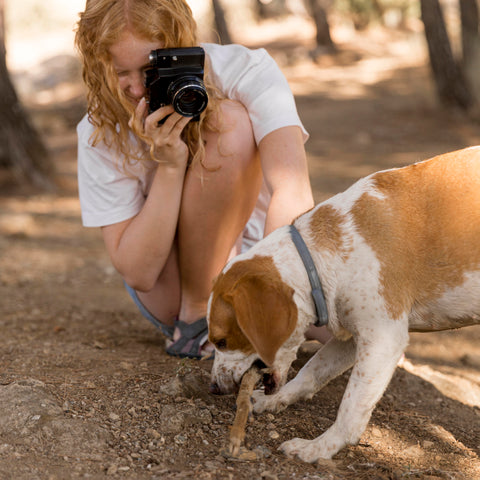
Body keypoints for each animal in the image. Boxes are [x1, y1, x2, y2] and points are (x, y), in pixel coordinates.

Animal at [208, 146, 480, 462]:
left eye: (222, 341)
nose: (214, 388)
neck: (320, 255)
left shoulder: (383, 340)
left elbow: (350, 406)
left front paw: (319, 447)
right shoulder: (350, 337)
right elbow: (311, 370)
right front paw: (277, 400)